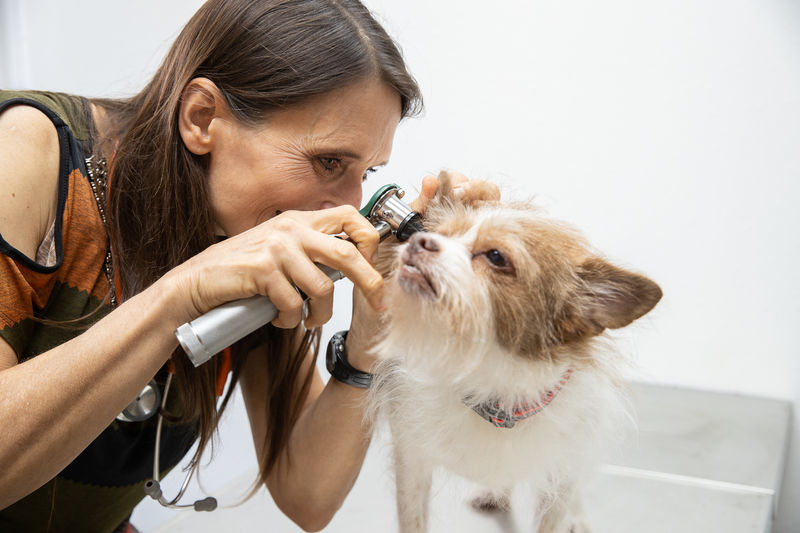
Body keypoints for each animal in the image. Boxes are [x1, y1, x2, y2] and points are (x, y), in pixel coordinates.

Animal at [366, 172, 660, 528]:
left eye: (495, 257)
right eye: (439, 234)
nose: (418, 241)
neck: (493, 384)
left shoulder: (561, 473)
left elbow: (555, 513)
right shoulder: (412, 461)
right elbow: (413, 520)